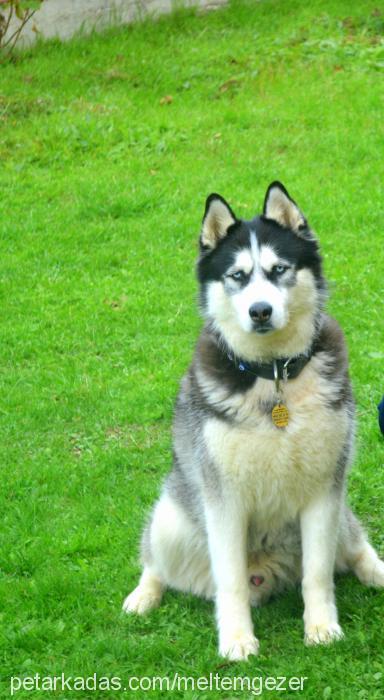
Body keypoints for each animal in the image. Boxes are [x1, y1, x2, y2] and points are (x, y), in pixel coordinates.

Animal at [124, 183, 384, 660]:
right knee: (154, 558)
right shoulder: (224, 498)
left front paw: (321, 628)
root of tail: (269, 571)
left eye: (278, 269)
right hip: (171, 518)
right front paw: (237, 639)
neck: (275, 376)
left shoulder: (325, 489)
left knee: (356, 549)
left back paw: (376, 572)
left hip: (341, 516)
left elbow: (318, 573)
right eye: (238, 276)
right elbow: (230, 582)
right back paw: (143, 596)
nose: (260, 311)